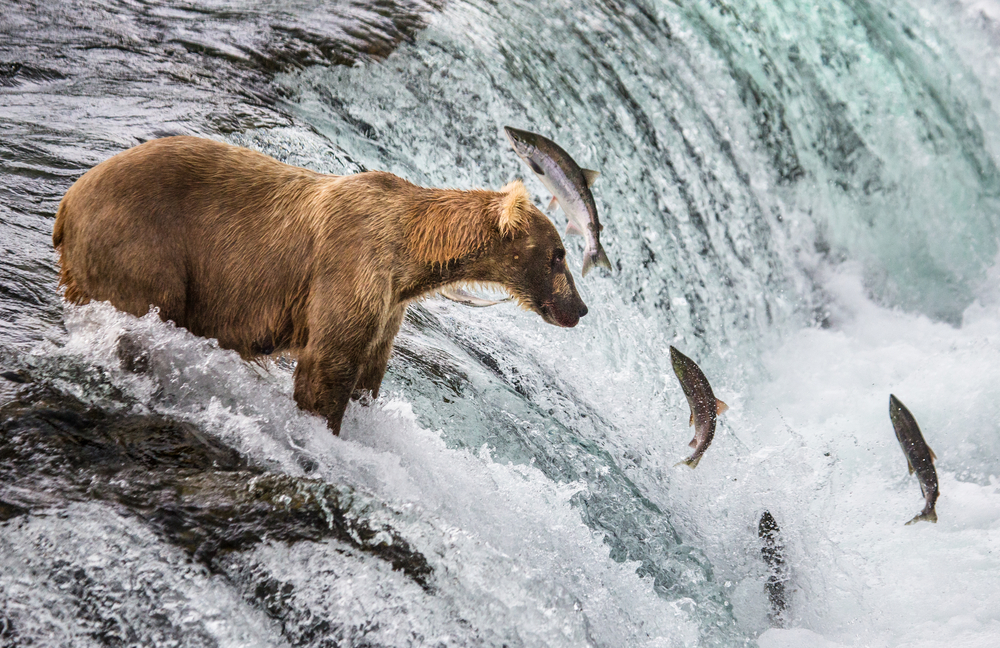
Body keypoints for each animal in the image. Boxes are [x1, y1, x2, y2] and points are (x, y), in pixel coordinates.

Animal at [54, 135, 584, 436]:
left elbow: (368, 371)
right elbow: (326, 368)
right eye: (558, 255)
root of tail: (67, 201)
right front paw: (324, 429)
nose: (579, 308)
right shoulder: (350, 268)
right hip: (143, 247)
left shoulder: (388, 307)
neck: (411, 255)